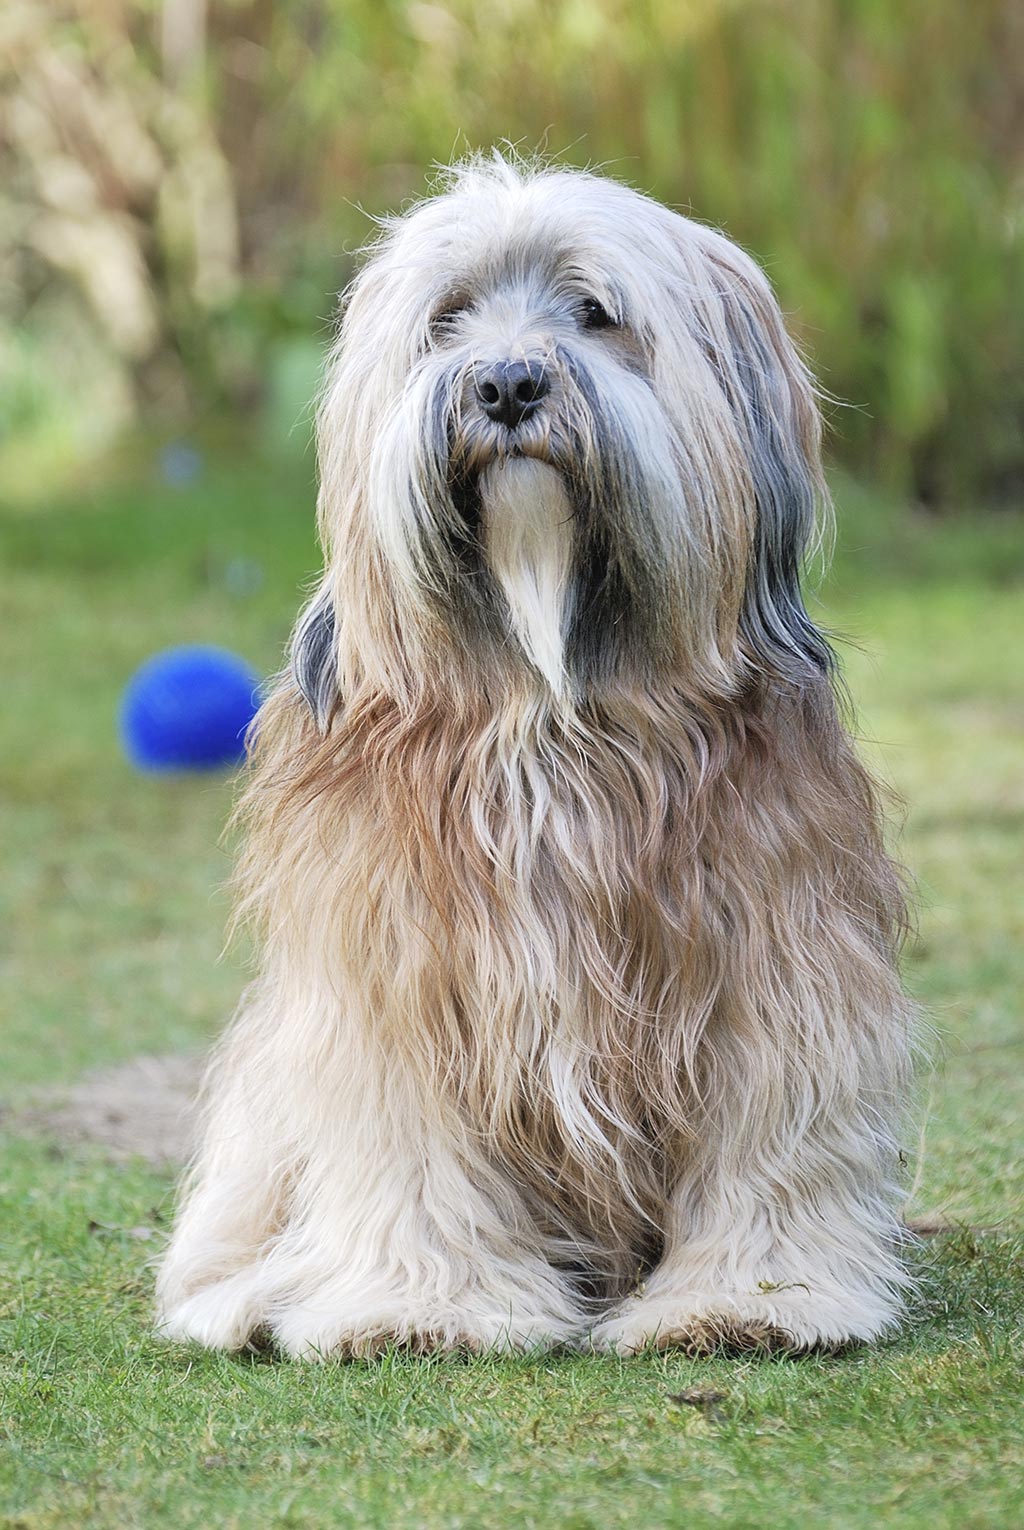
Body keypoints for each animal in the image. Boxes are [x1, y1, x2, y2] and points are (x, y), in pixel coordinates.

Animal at [157, 149, 912, 1358]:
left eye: (596, 312)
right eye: (449, 318)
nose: (507, 385)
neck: (549, 712)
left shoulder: (776, 951)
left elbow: (772, 1120)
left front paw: (753, 1296)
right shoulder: (391, 976)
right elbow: (408, 1146)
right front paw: (419, 1305)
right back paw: (242, 1296)